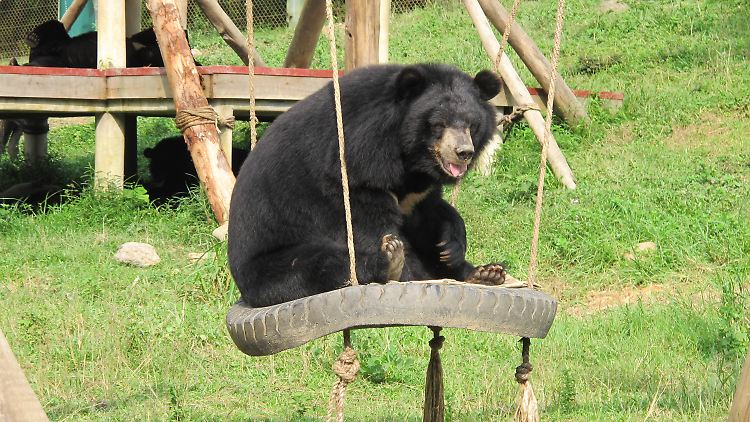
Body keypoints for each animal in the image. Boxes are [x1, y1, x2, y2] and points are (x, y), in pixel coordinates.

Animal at [228, 63, 507, 308]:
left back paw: (487, 273)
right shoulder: (353, 170)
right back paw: (388, 263)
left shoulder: (418, 191)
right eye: (438, 124)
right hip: (271, 262)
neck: (409, 159)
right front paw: (410, 271)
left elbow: (434, 212)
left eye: (471, 124)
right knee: (320, 263)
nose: (464, 152)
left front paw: (450, 248)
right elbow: (368, 224)